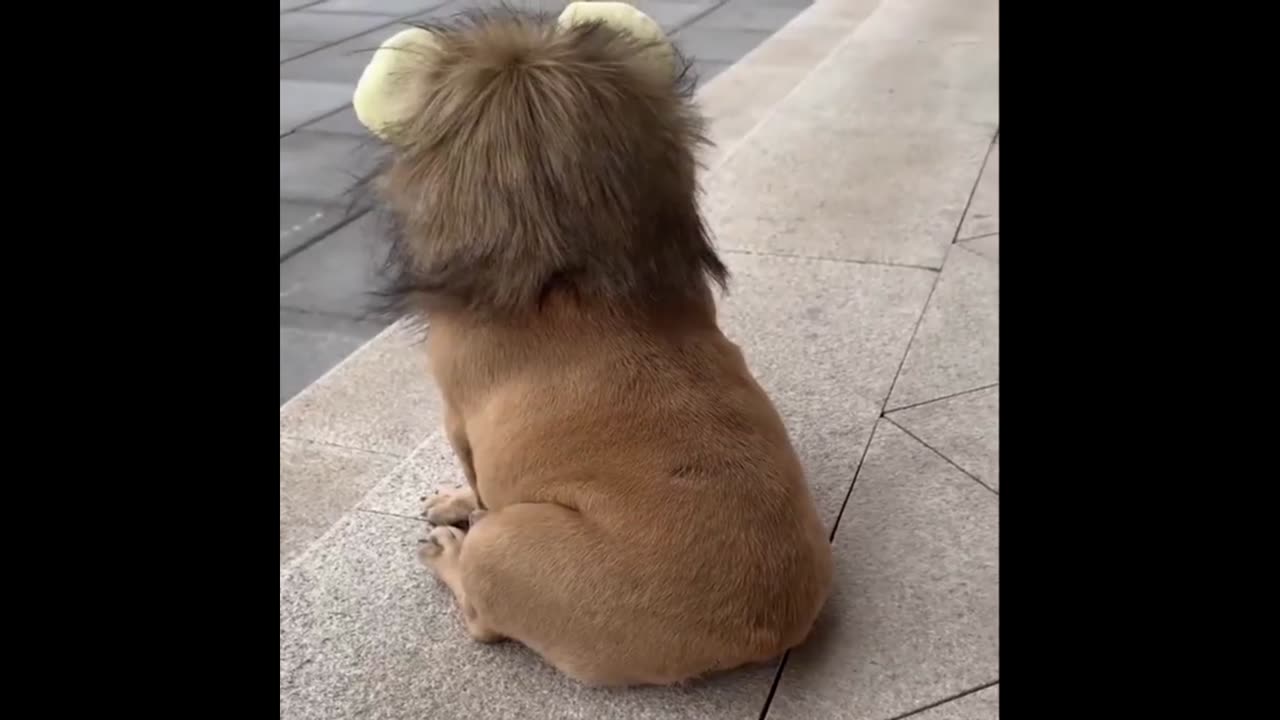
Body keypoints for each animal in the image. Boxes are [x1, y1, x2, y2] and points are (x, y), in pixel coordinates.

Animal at [355, 4, 834, 681]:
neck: (574, 277)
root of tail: (760, 634)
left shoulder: (457, 419)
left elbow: (476, 476)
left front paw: (455, 502)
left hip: (506, 548)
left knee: (483, 615)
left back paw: (449, 552)